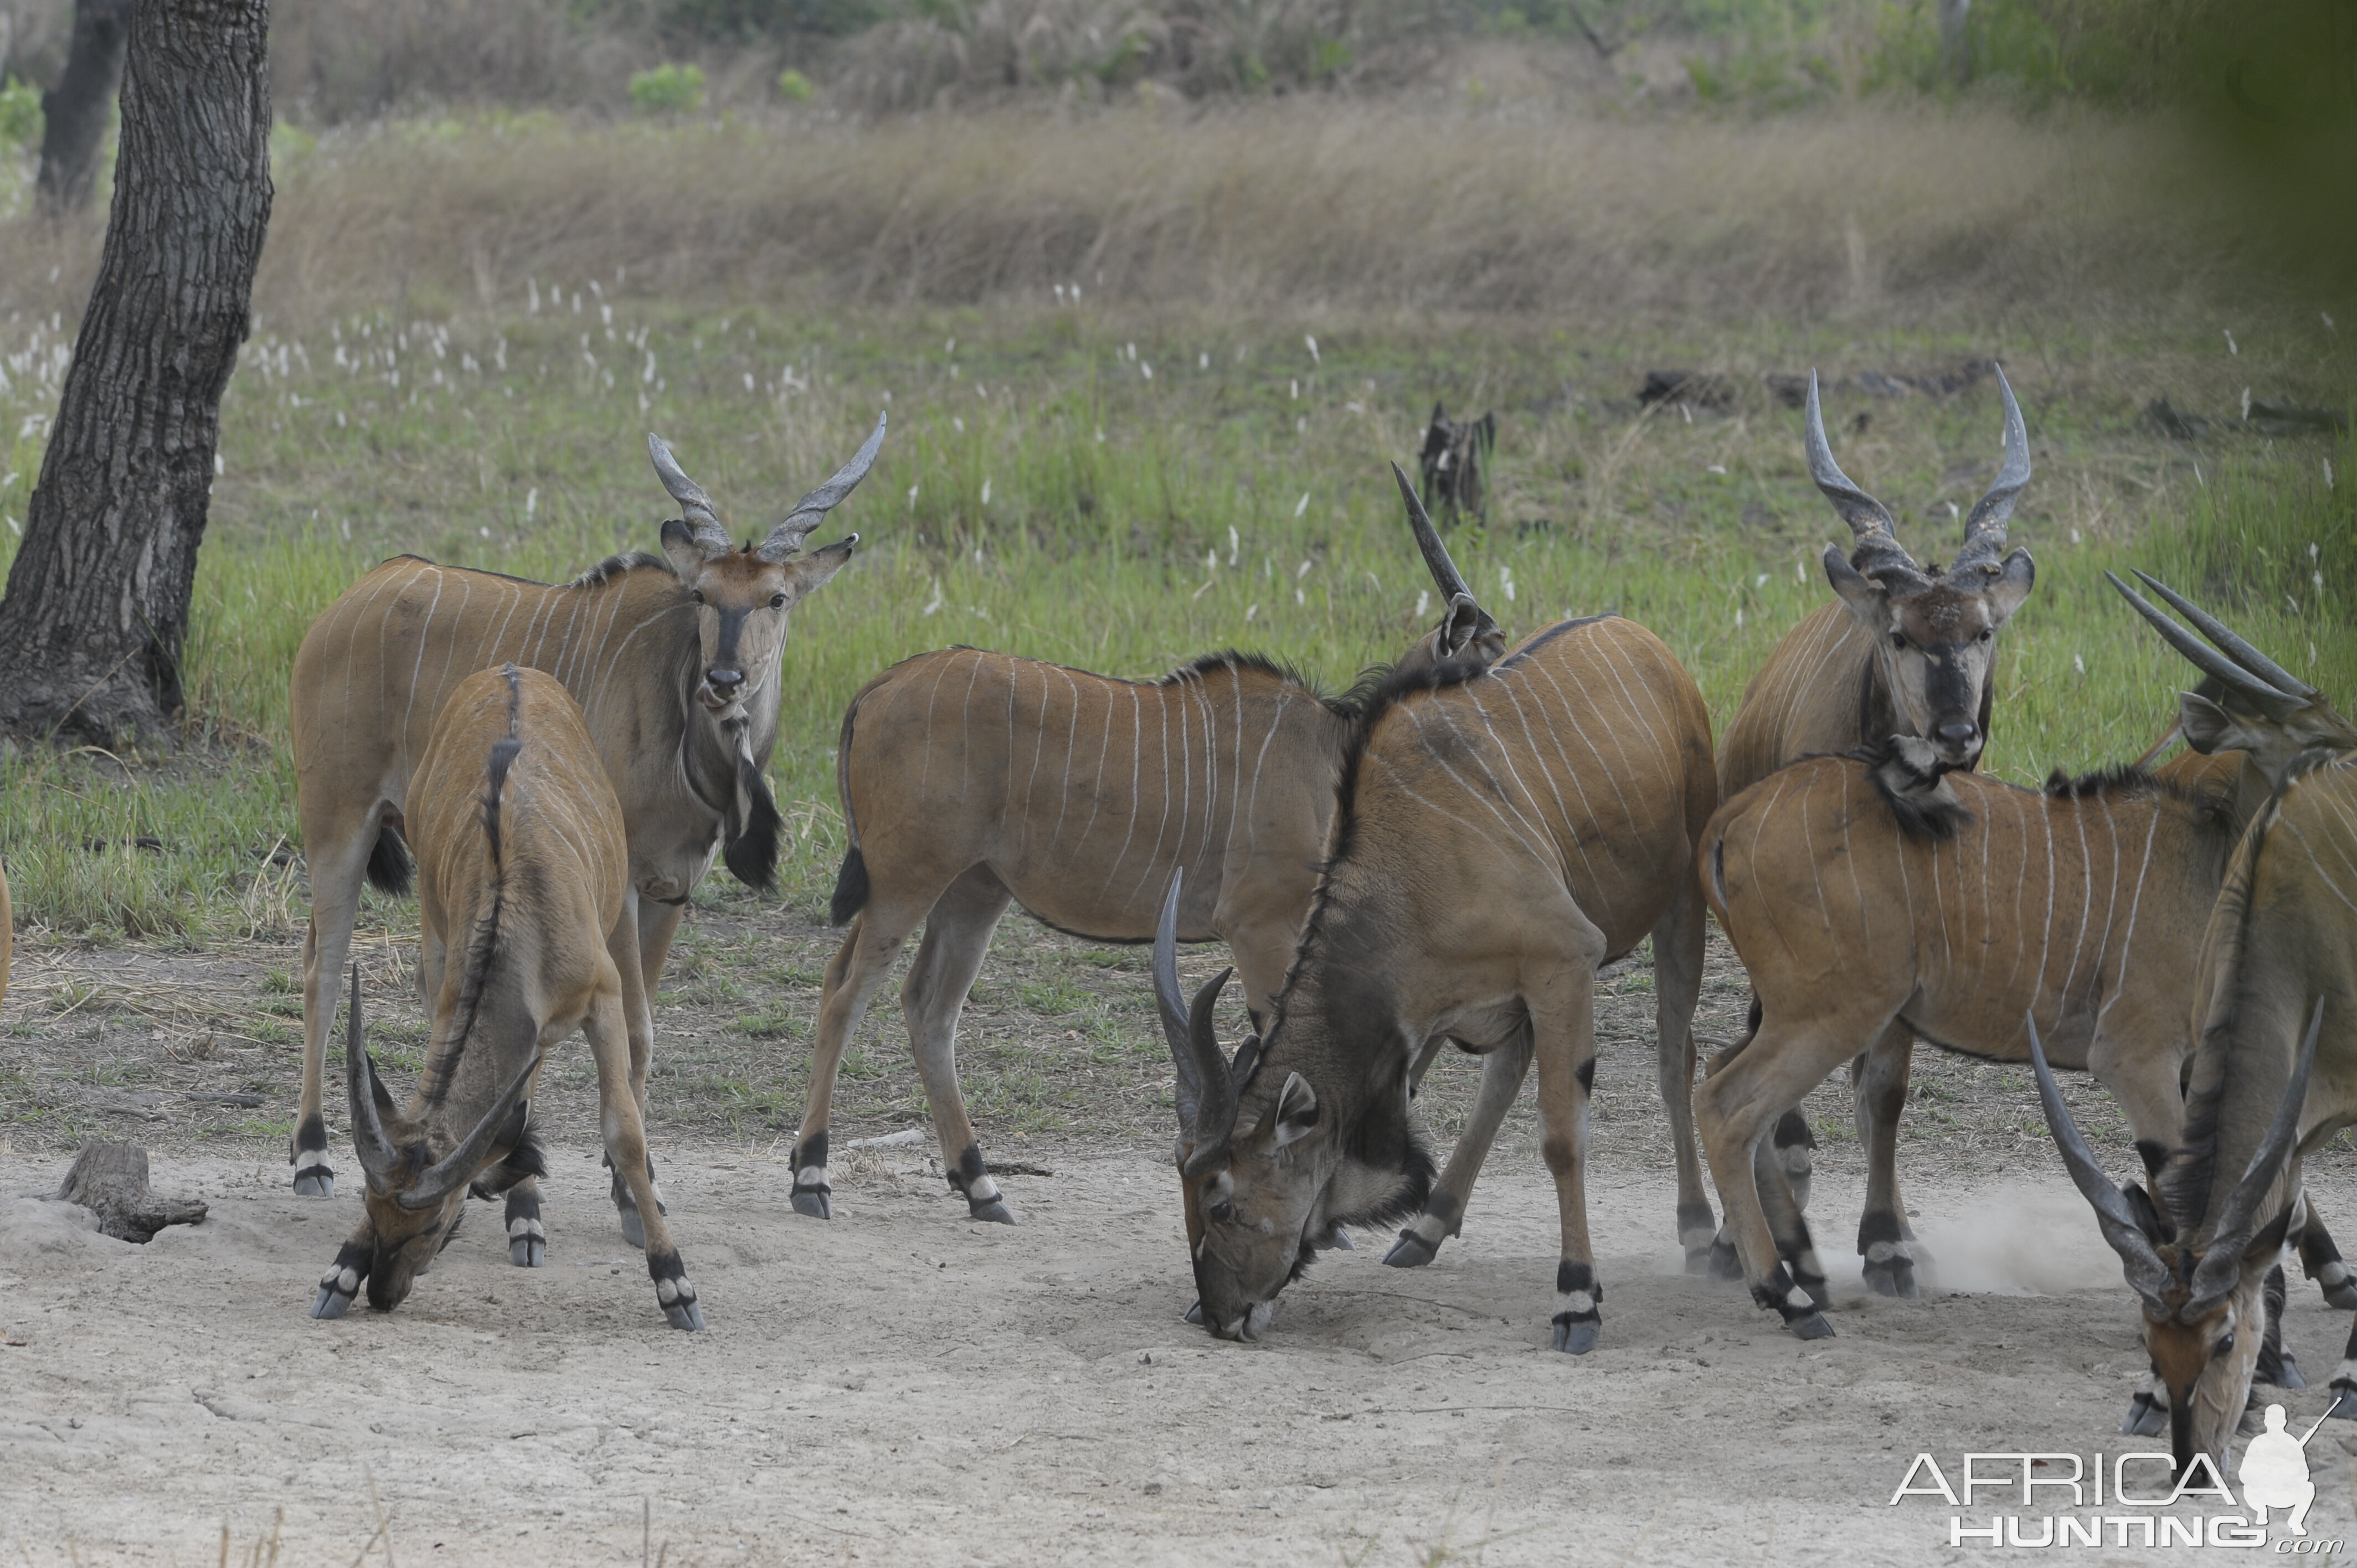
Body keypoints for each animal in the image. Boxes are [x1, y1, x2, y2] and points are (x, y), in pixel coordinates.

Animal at [290, 410, 881, 1193]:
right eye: (702, 596)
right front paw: (627, 1168)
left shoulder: (672, 889)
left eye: (775, 599)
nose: (724, 679)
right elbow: (633, 1024)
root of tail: (356, 594)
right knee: (323, 972)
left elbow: (642, 1024)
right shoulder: (622, 884)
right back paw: (312, 1152)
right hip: (336, 822)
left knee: (431, 974)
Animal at [320, 664, 707, 1329]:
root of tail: (510, 671)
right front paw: (341, 1269)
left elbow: (623, 1133)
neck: (519, 898)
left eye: (431, 1224)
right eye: (371, 1209)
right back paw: (523, 1212)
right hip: (437, 928)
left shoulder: (601, 998)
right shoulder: (458, 994)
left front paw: (674, 1284)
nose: (383, 1293)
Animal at [1145, 604, 1716, 1348]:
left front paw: (1575, 1298)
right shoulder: (1422, 1020)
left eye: (1221, 1203)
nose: (1217, 1316)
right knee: (1506, 1074)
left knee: (1675, 1059)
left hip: (1682, 904)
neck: (1412, 865)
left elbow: (1562, 1138)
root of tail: (1633, 632)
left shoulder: (1565, 962)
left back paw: (1701, 1232)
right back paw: (1429, 1225)